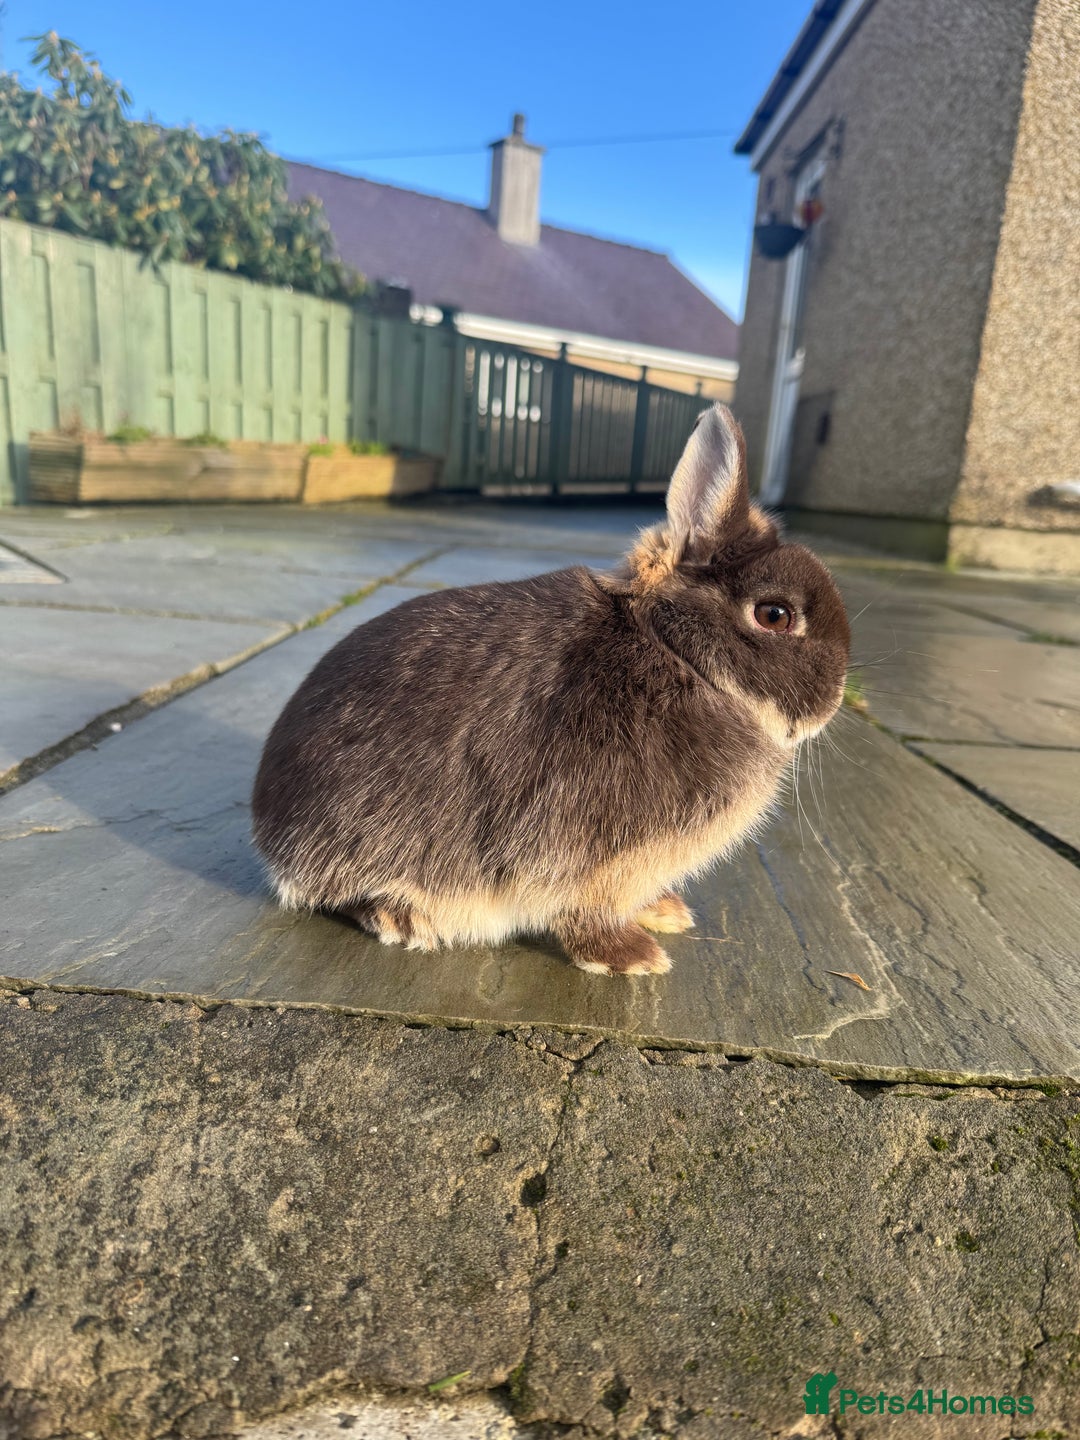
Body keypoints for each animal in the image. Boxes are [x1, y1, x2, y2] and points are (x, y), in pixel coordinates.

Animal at [252, 403, 851, 976]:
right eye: (774, 615)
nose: (834, 703)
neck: (677, 654)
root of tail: (270, 834)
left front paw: (663, 913)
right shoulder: (581, 850)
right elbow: (581, 909)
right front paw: (630, 958)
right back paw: (407, 919)